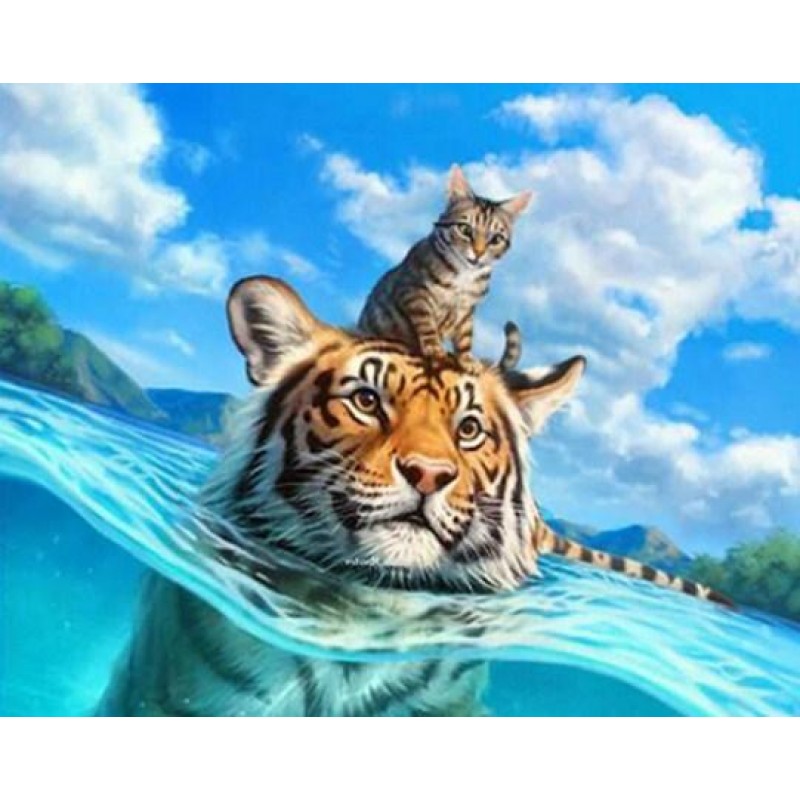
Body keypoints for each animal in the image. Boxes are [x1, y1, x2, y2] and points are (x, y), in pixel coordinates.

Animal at [358, 164, 532, 374]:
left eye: (495, 239)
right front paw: (434, 348)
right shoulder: (413, 291)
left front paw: (466, 359)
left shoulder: (467, 310)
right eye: (465, 229)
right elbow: (426, 322)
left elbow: (465, 337)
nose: (479, 252)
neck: (463, 277)